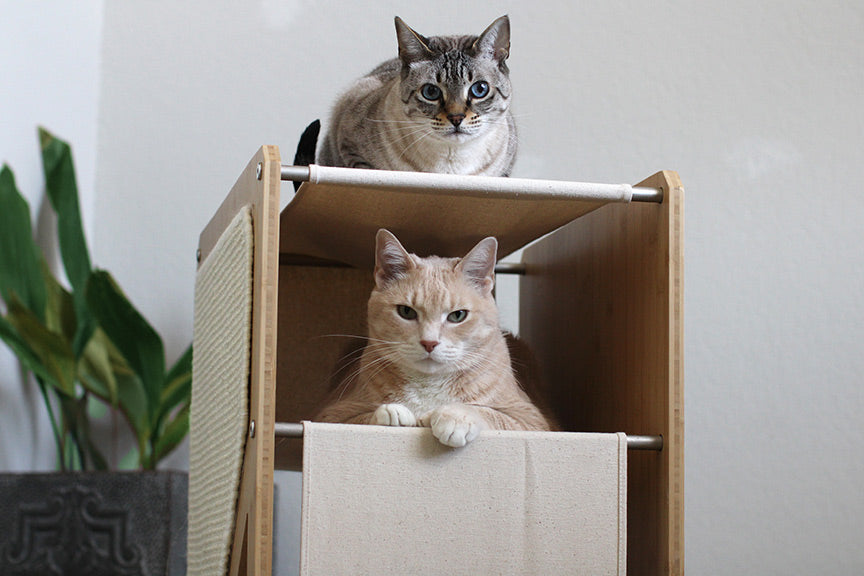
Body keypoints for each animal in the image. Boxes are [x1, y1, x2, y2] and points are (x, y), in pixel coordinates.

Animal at [314, 228, 552, 446]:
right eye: (406, 312)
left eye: (458, 315)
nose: (429, 342)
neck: (428, 385)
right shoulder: (329, 415)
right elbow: (360, 418)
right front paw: (391, 413)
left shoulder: (534, 422)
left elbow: (488, 412)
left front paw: (455, 416)